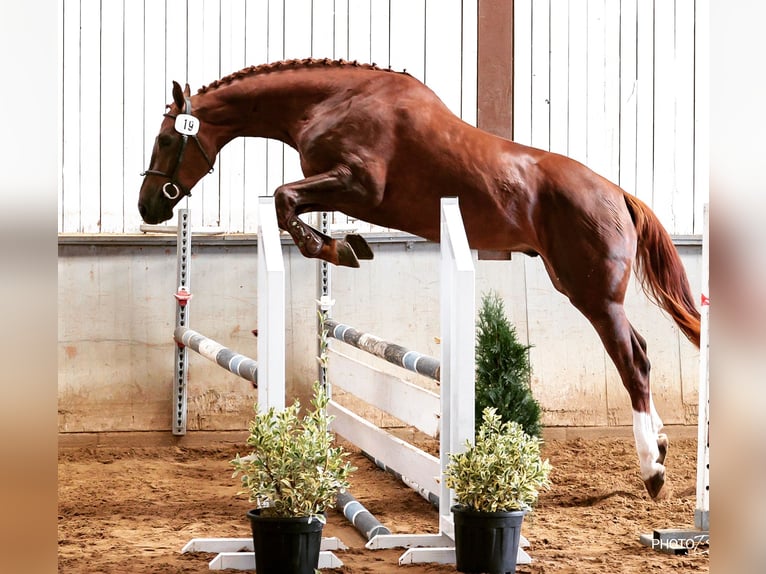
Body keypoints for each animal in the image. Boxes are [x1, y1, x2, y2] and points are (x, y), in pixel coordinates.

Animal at [138, 58, 700, 500]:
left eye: (165, 139)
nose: (148, 207)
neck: (331, 101)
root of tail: (618, 192)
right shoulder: (340, 189)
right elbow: (288, 204)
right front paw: (346, 245)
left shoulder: (357, 184)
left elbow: (283, 198)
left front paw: (339, 249)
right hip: (580, 288)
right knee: (640, 351)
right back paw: (661, 445)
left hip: (594, 296)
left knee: (634, 363)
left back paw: (652, 470)